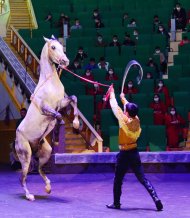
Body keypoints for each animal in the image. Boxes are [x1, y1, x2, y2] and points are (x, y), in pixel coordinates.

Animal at [15, 35, 79, 201]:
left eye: (61, 46)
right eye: (53, 47)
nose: (65, 61)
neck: (50, 83)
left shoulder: (61, 103)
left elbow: (74, 98)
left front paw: (76, 124)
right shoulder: (46, 109)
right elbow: (58, 116)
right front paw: (57, 135)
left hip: (45, 153)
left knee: (39, 169)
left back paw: (48, 188)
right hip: (26, 156)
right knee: (22, 177)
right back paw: (29, 195)